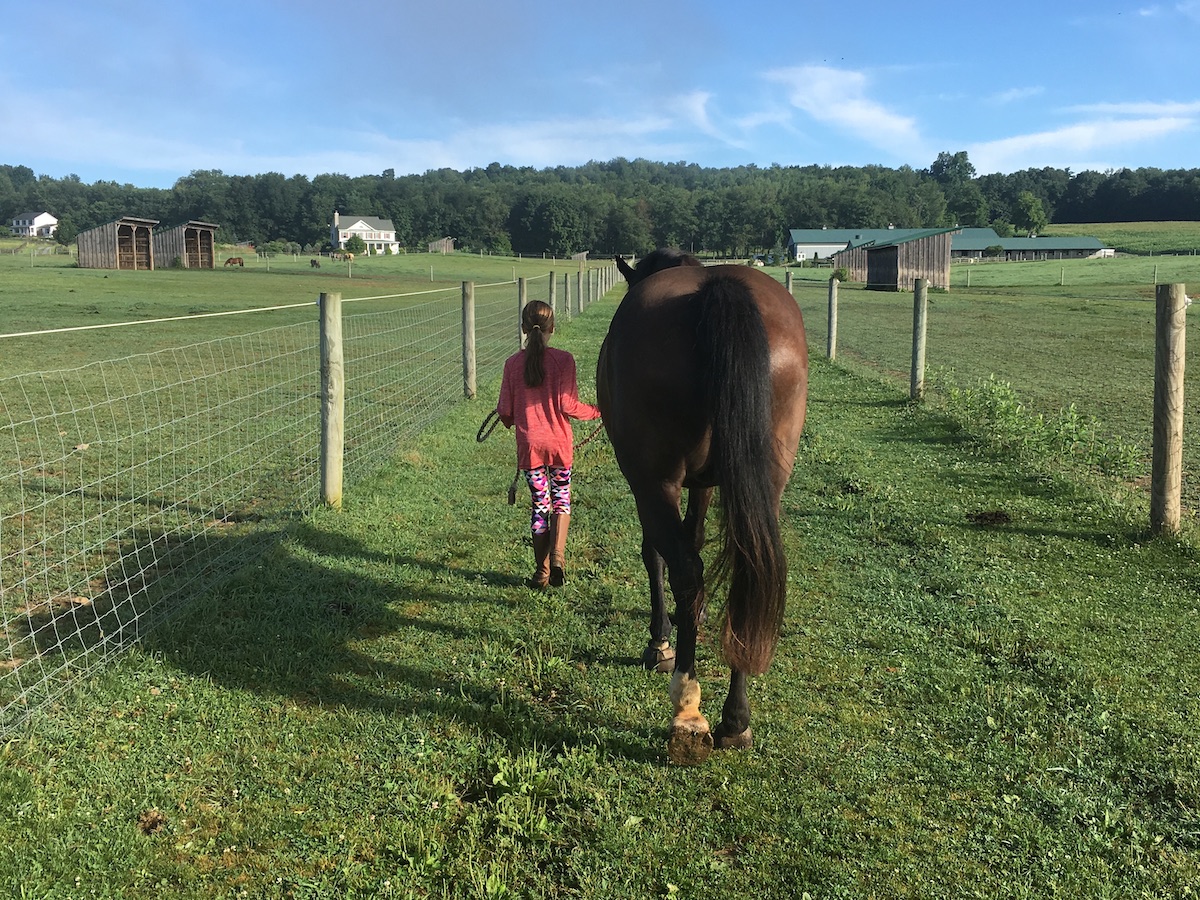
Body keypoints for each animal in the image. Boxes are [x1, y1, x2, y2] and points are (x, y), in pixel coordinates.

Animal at [596, 249, 808, 765]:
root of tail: (716, 288)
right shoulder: (708, 484)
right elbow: (693, 538)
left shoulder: (651, 484)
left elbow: (656, 554)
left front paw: (660, 640)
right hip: (763, 478)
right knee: (748, 569)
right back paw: (736, 720)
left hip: (654, 482)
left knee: (686, 569)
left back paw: (687, 710)